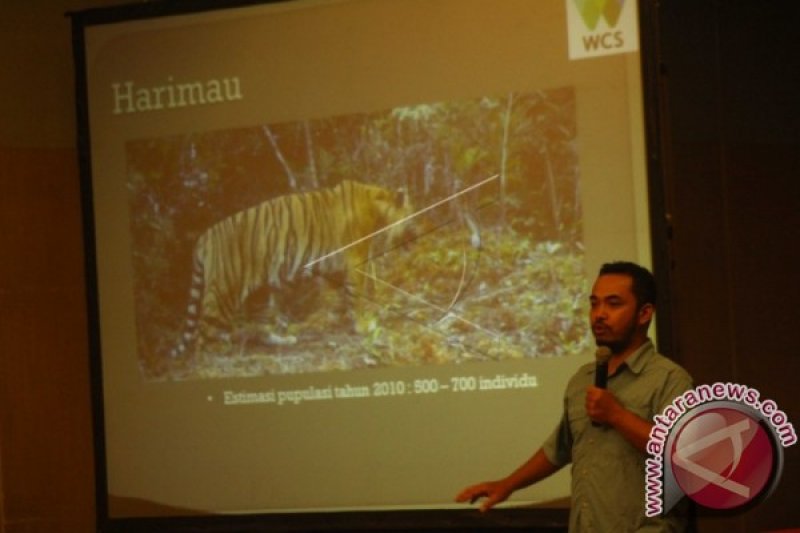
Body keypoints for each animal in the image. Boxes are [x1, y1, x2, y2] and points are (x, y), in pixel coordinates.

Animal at [172, 179, 416, 358]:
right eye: (412, 218)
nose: (417, 234)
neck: (376, 208)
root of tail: (204, 237)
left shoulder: (337, 268)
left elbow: (343, 294)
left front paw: (341, 318)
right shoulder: (355, 263)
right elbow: (355, 296)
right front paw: (362, 325)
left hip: (259, 292)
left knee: (258, 325)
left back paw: (282, 340)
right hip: (225, 290)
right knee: (204, 331)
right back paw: (219, 350)